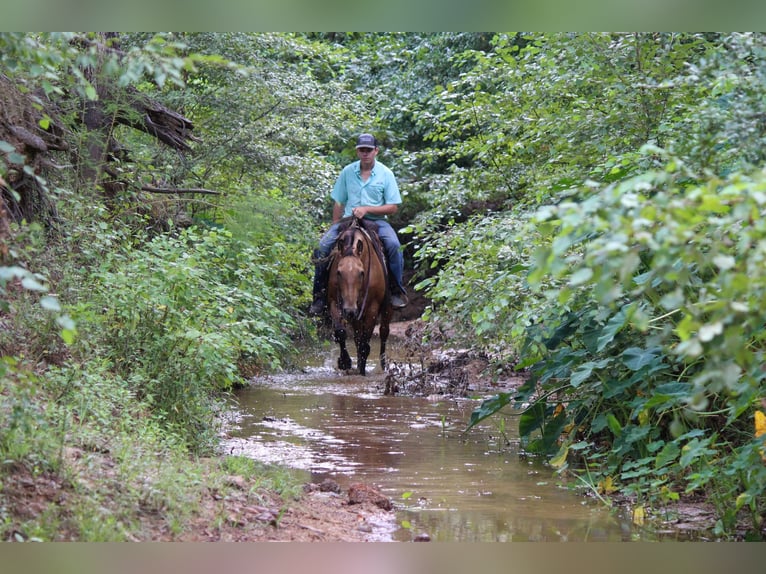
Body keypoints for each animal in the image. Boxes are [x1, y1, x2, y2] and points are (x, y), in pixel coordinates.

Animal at [328, 217, 392, 378]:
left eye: (362, 273)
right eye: (338, 272)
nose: (350, 311)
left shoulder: (372, 308)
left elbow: (365, 345)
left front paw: (362, 372)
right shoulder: (334, 302)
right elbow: (341, 333)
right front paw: (345, 362)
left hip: (387, 308)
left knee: (384, 332)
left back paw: (382, 365)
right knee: (357, 338)